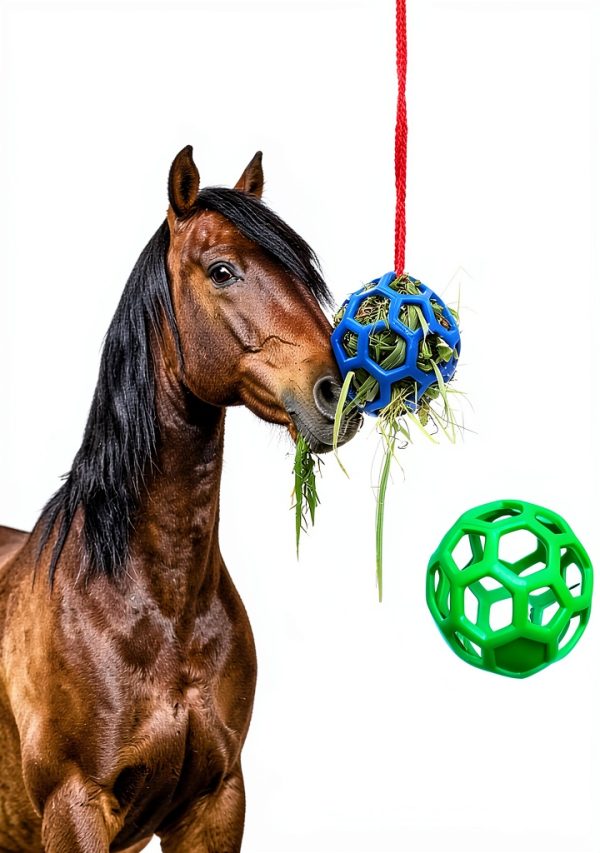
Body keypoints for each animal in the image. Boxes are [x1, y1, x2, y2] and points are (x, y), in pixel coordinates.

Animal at [0, 146, 360, 852]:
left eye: (306, 274)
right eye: (222, 270)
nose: (341, 395)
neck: (157, 604)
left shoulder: (214, 804)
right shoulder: (74, 807)